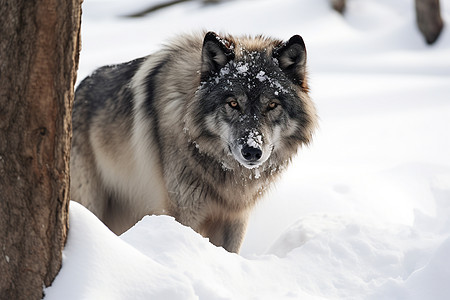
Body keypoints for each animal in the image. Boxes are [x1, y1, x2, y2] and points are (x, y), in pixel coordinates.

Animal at [71, 31, 316, 253]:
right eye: (233, 103)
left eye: (272, 105)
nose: (252, 151)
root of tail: (77, 90)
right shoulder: (183, 213)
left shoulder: (235, 218)